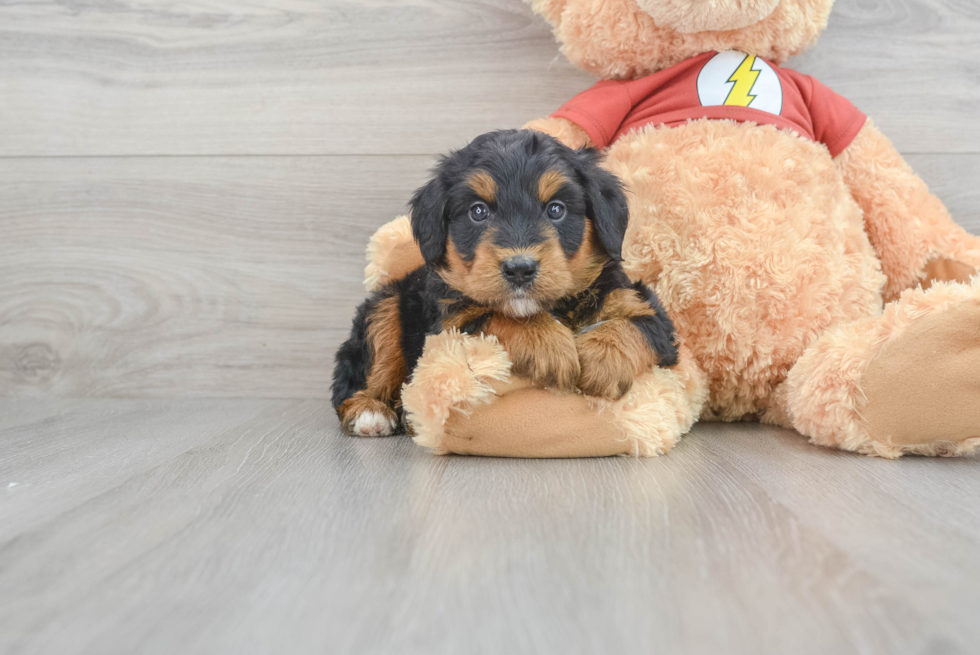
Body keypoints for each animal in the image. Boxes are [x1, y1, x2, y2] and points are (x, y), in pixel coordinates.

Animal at [334, 129, 676, 438]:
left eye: (556, 209)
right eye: (478, 211)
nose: (520, 269)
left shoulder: (645, 308)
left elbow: (635, 326)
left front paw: (602, 361)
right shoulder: (447, 324)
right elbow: (497, 316)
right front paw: (547, 344)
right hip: (385, 306)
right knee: (362, 372)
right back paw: (370, 412)